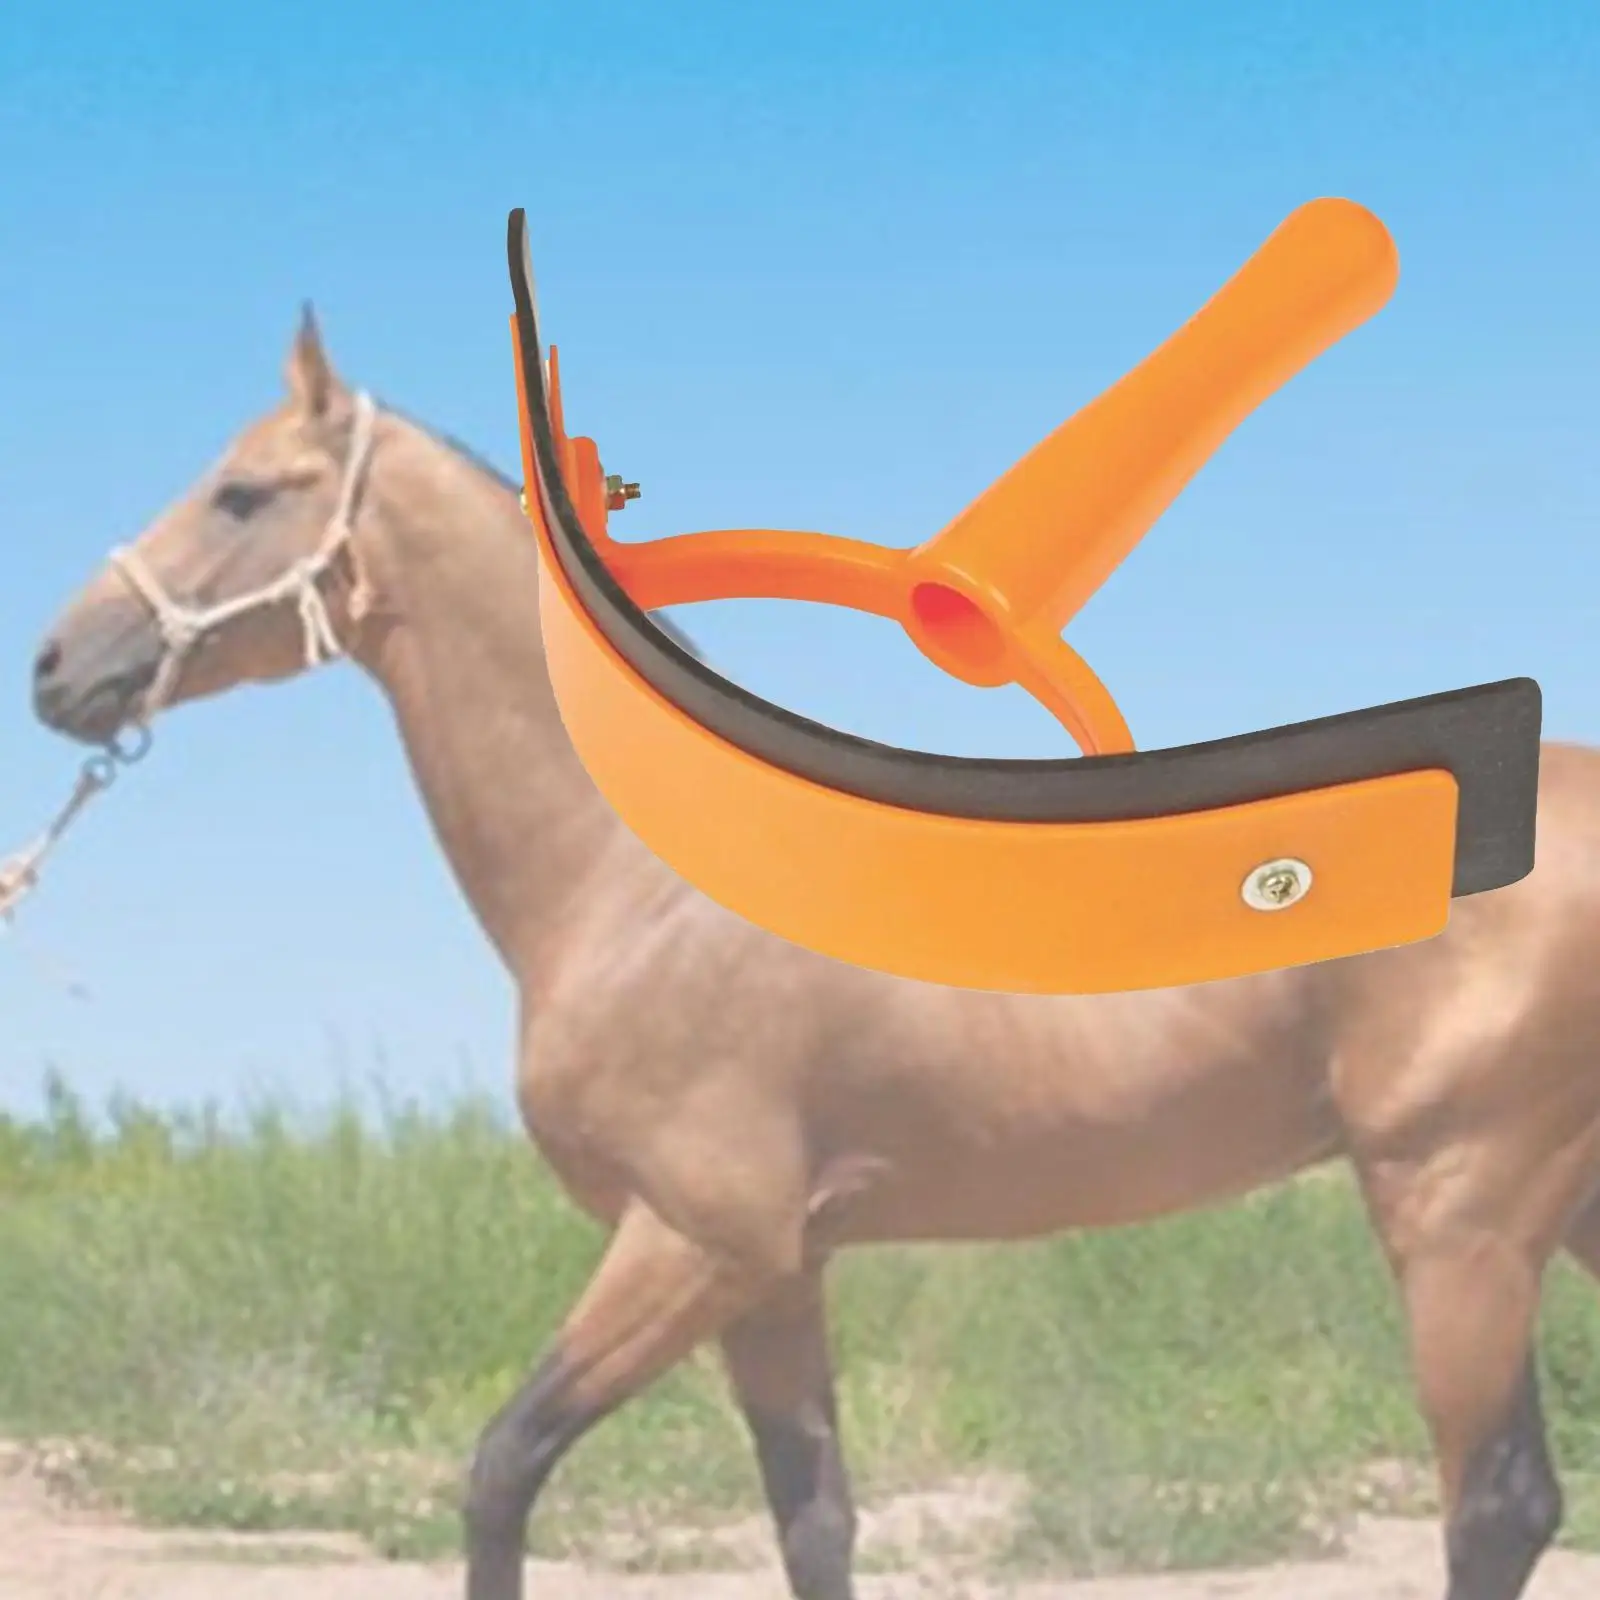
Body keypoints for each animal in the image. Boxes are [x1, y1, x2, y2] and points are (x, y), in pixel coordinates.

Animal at [29, 308, 1600, 1600]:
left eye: (241, 491)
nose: (56, 669)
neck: (637, 883)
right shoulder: (776, 1277)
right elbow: (813, 1524)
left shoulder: (692, 1240)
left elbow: (500, 1472)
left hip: (1456, 1207)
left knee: (1497, 1506)